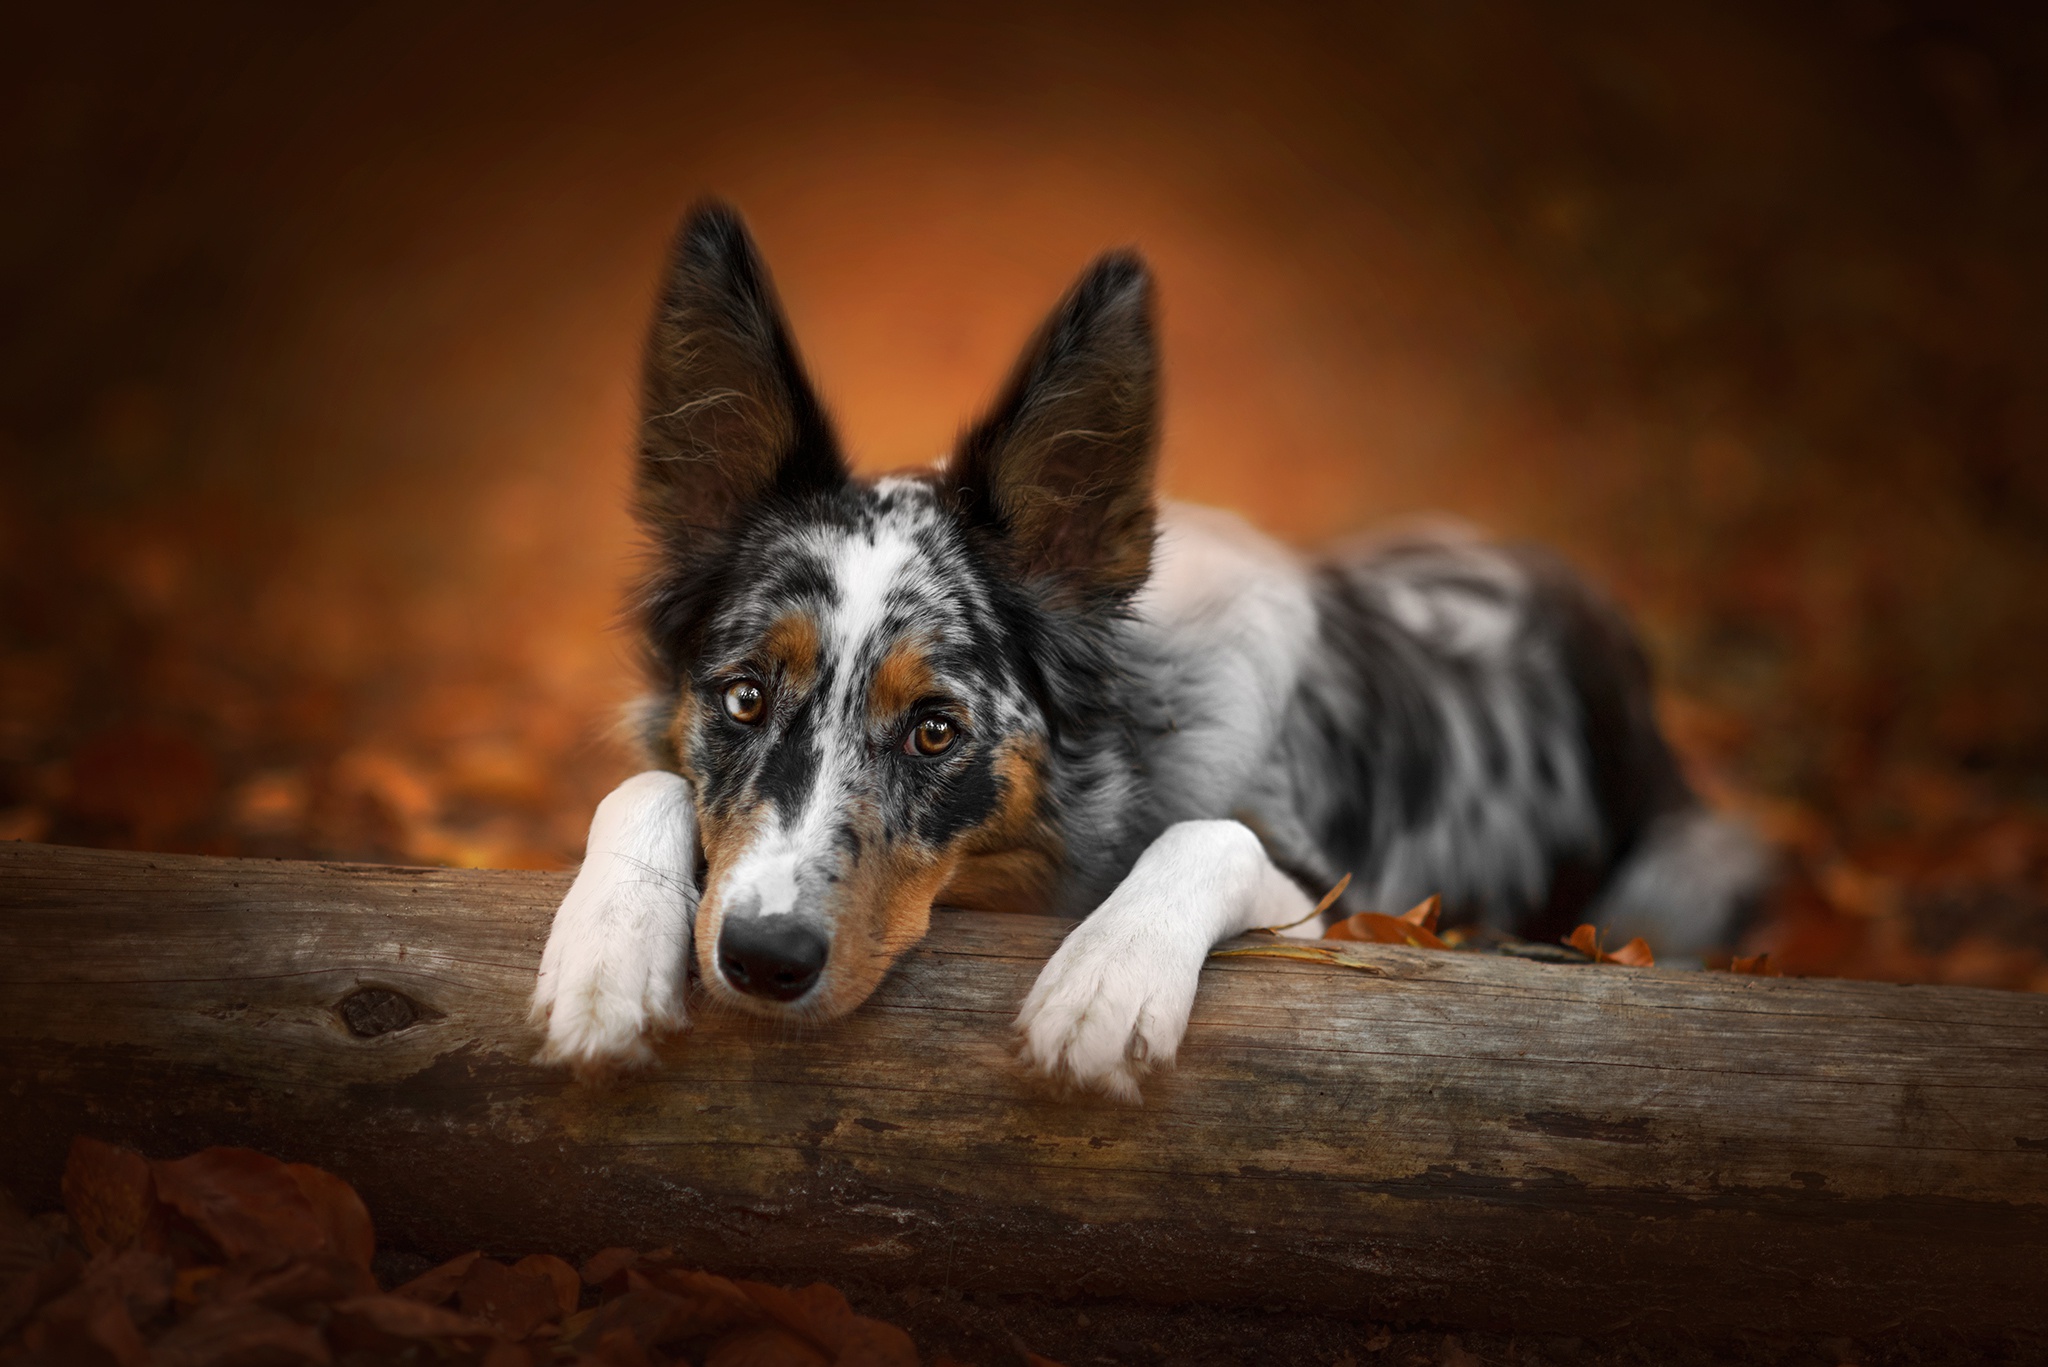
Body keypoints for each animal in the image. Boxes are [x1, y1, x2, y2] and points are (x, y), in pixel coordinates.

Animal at [528, 202, 1761, 1098]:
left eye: (935, 730)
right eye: (742, 698)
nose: (764, 958)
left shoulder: (1341, 900)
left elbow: (1209, 834)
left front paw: (1106, 979)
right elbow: (643, 783)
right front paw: (603, 957)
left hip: (1693, 869)